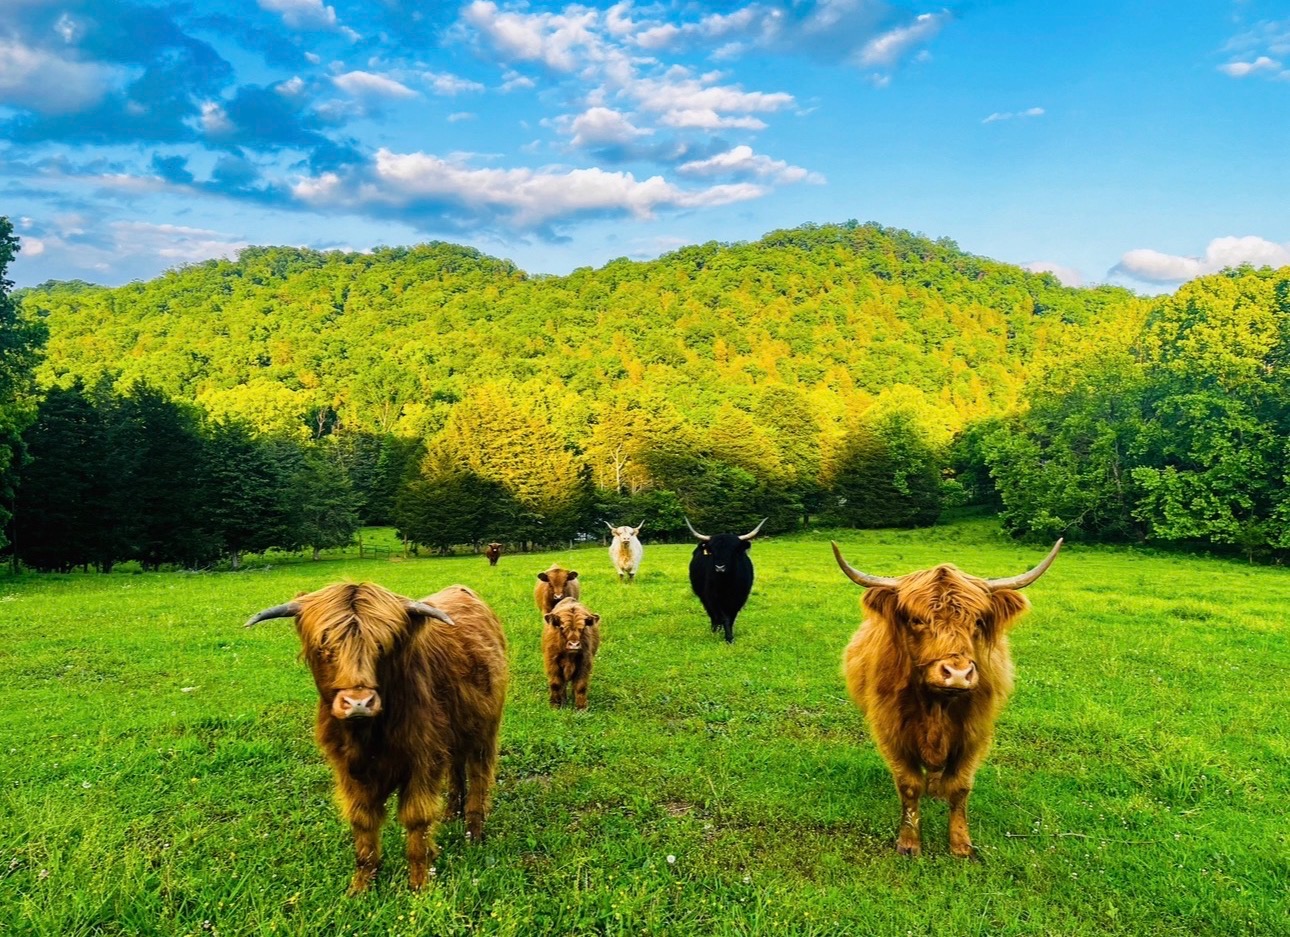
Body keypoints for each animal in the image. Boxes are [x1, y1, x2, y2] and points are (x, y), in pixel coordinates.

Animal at [244, 581, 508, 893]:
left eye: (382, 645)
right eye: (324, 646)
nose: (358, 702)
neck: (368, 738)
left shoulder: (424, 759)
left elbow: (416, 819)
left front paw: (419, 883)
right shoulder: (348, 769)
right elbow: (362, 821)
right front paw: (362, 884)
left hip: (485, 730)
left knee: (479, 775)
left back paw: (473, 833)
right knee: (456, 769)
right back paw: (450, 814)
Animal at [832, 539, 1062, 858]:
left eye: (977, 621)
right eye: (916, 620)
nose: (957, 674)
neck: (936, 708)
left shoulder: (974, 736)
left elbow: (960, 786)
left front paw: (961, 844)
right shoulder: (891, 732)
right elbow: (909, 785)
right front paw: (909, 843)